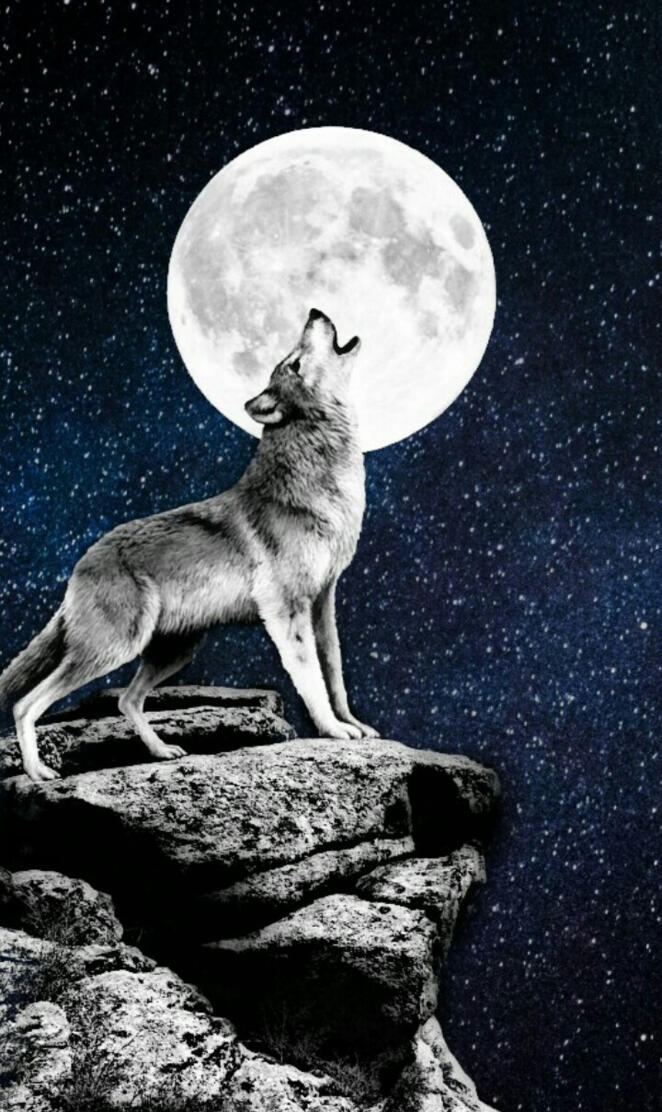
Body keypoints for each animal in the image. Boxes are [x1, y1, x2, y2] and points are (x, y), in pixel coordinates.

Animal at [0, 309, 379, 782]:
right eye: (291, 363)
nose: (315, 312)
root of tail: (81, 564)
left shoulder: (323, 601)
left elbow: (337, 677)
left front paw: (354, 725)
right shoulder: (287, 610)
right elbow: (312, 680)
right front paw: (332, 730)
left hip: (174, 652)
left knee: (126, 699)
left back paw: (161, 751)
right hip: (115, 649)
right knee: (26, 703)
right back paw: (39, 772)